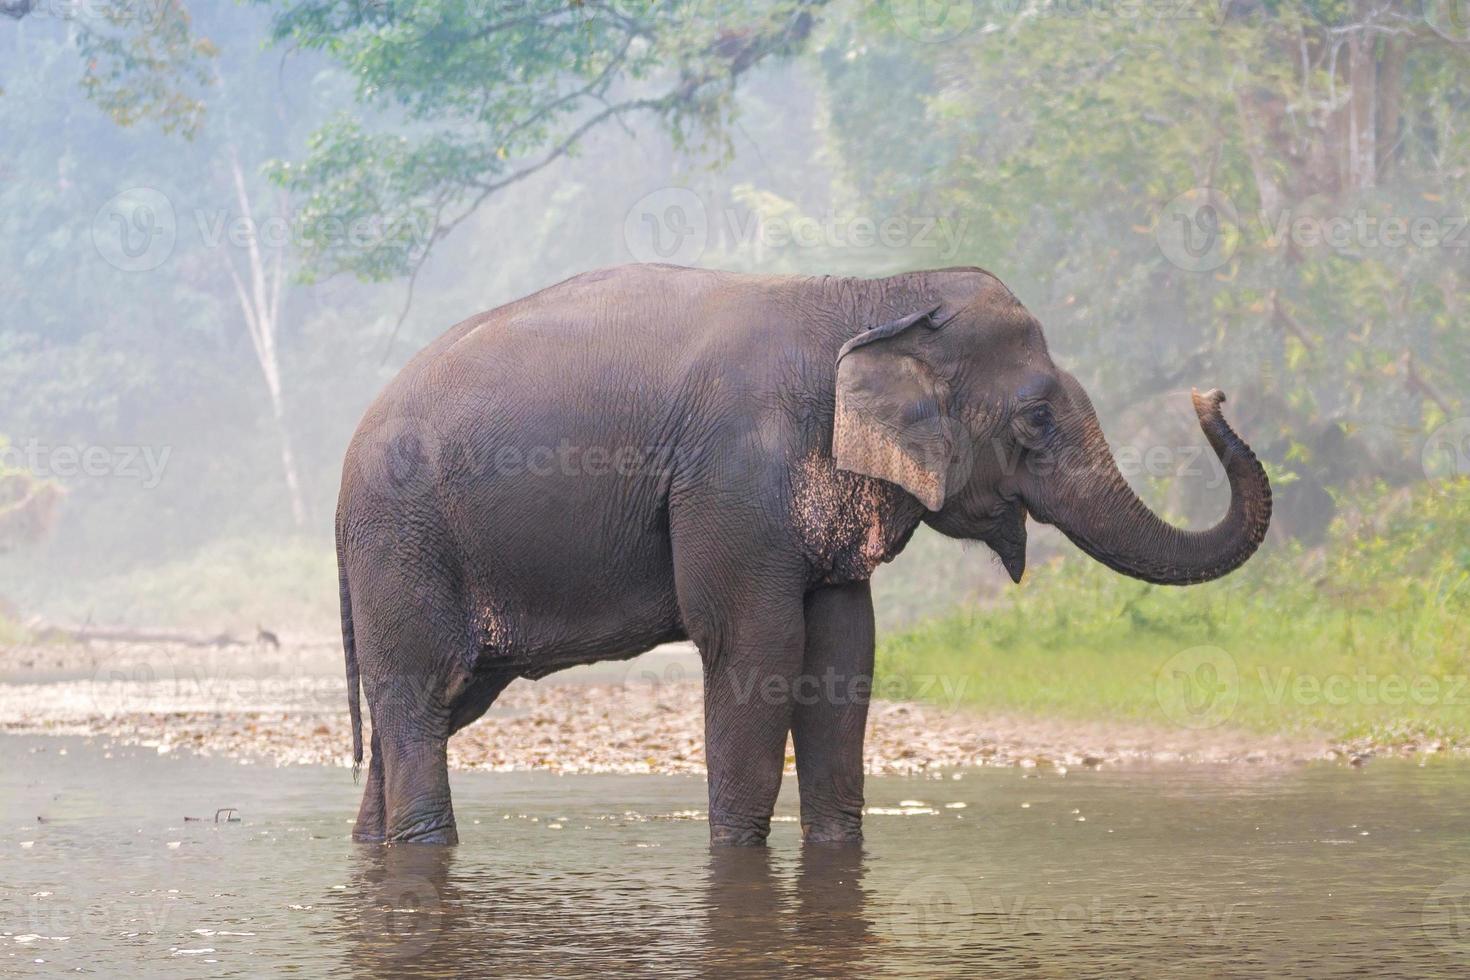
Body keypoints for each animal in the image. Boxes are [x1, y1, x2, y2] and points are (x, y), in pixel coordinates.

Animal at [330, 264, 1264, 846]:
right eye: (1034, 418)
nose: (1211, 394)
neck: (870, 294)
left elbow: (844, 656)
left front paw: (837, 849)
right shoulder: (734, 477)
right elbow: (759, 649)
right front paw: (738, 855)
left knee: (438, 707)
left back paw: (377, 844)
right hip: (403, 542)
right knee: (419, 695)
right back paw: (424, 847)